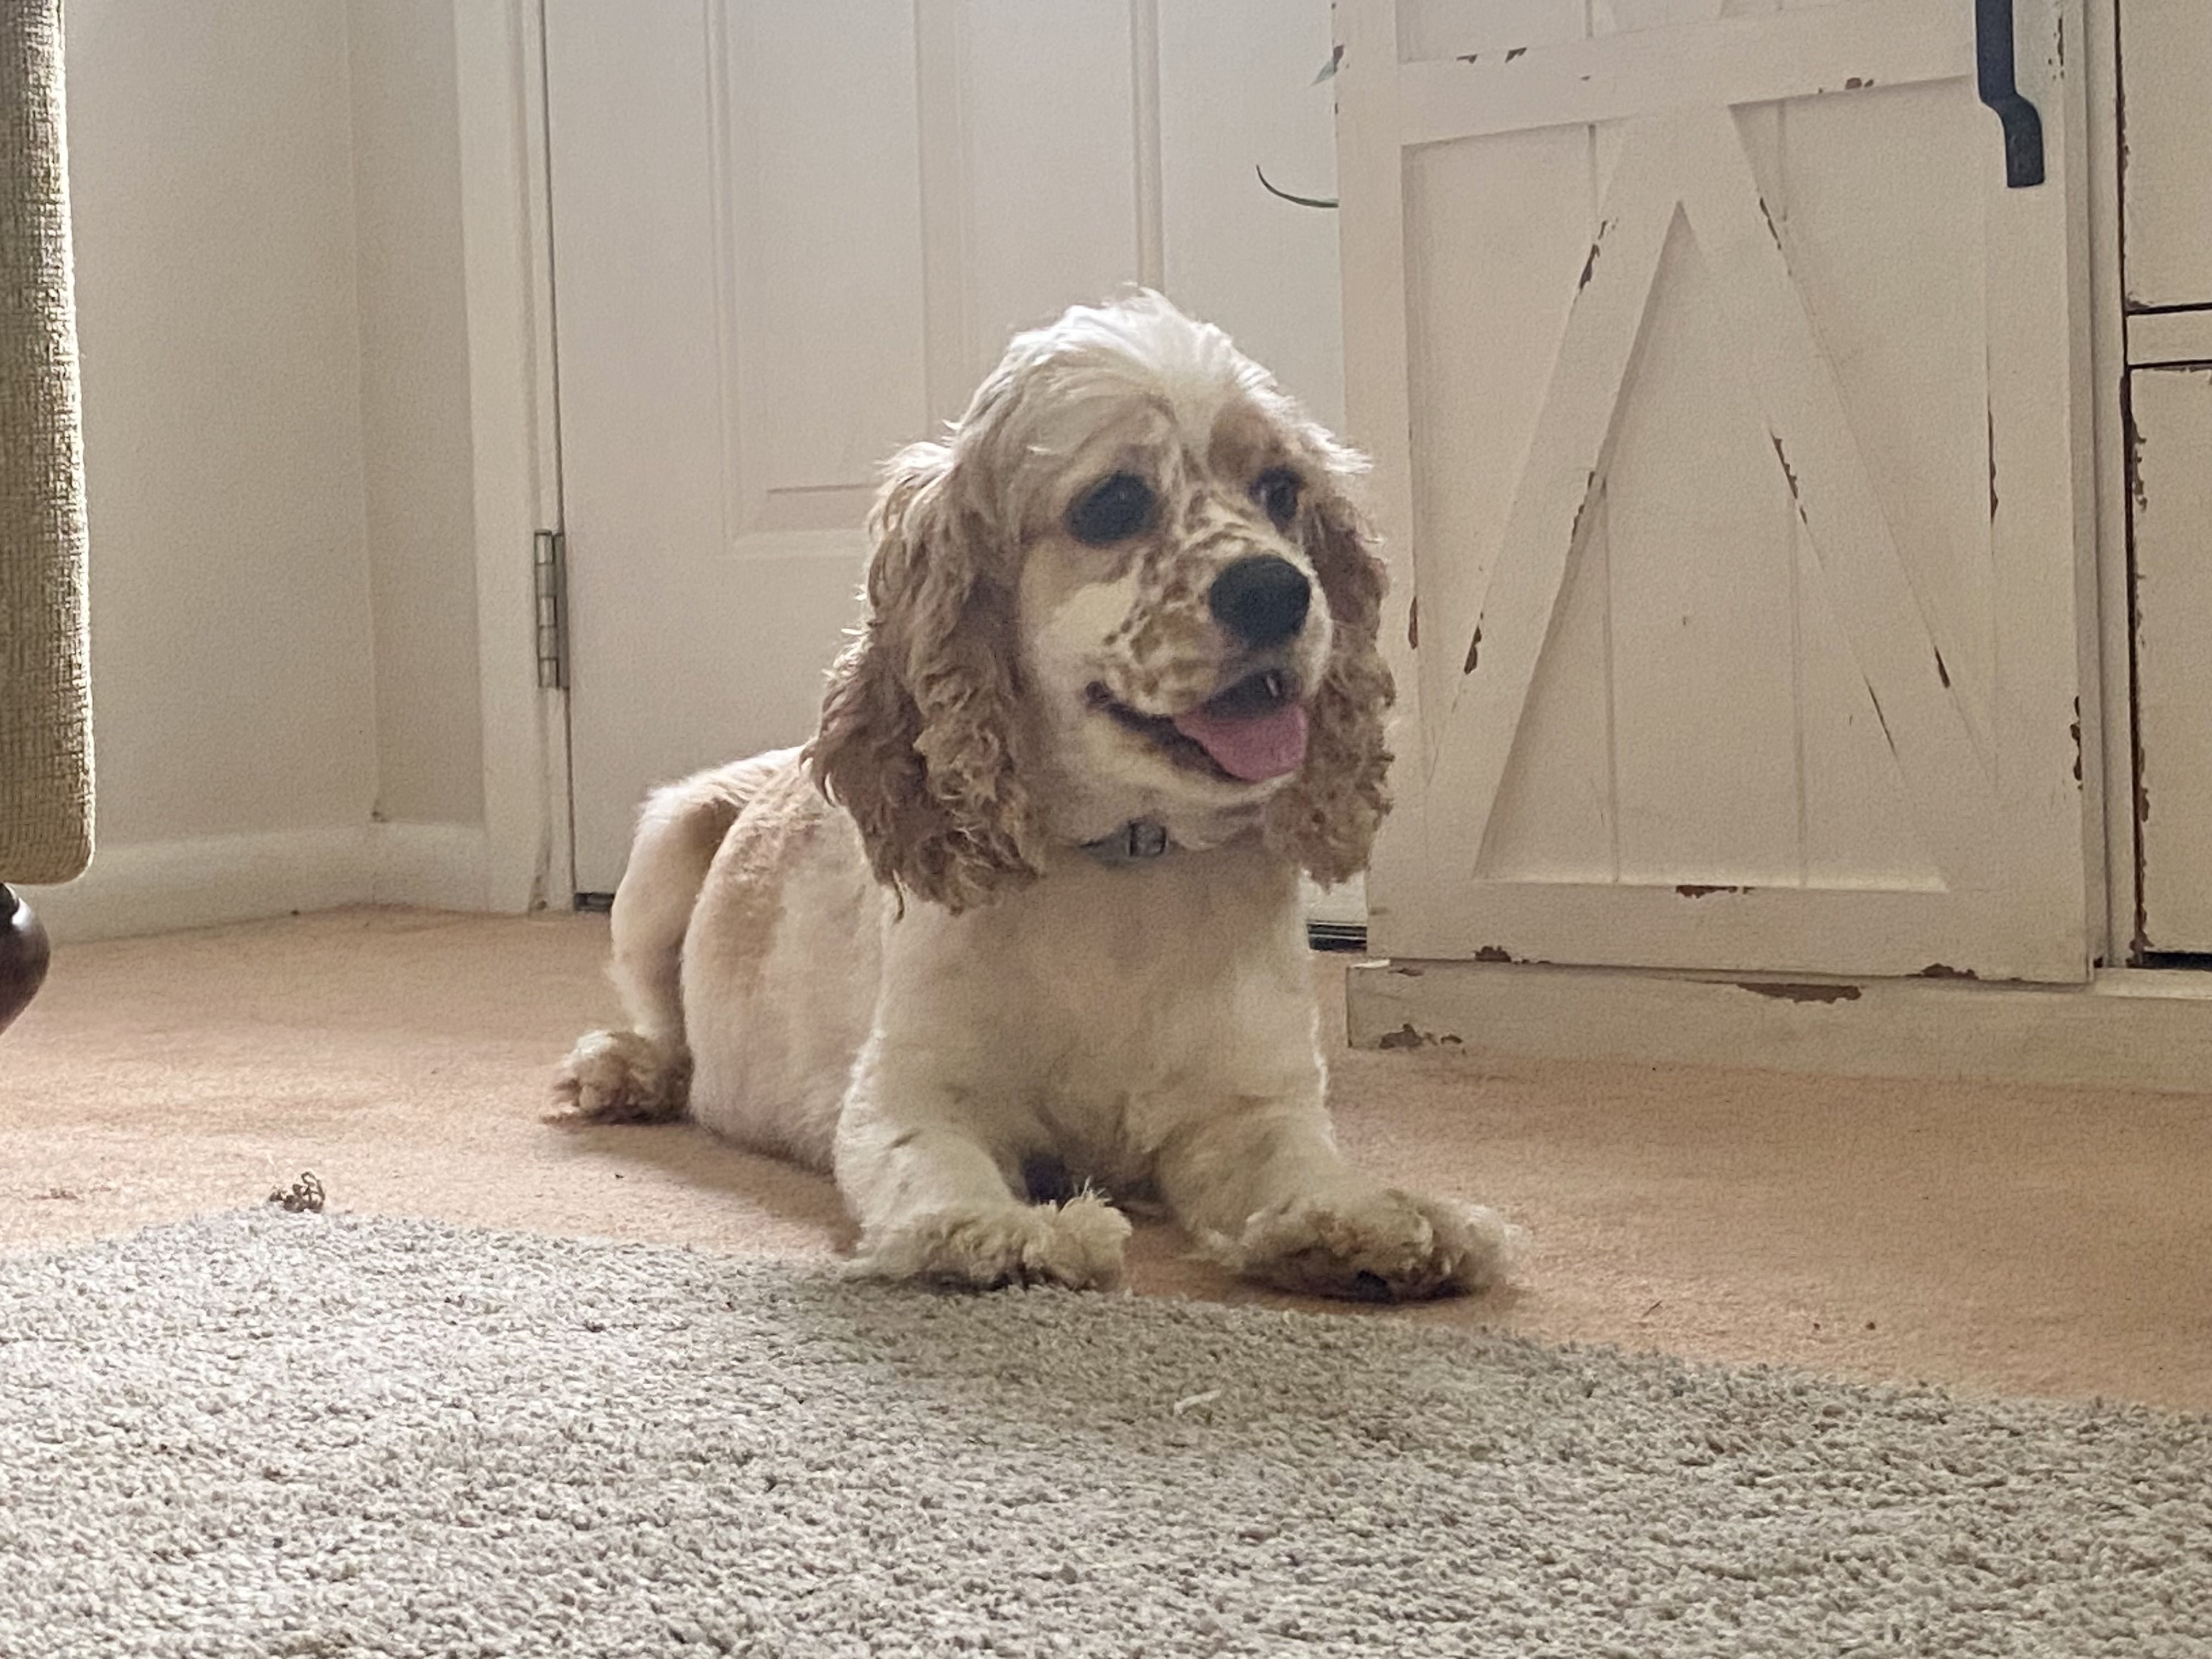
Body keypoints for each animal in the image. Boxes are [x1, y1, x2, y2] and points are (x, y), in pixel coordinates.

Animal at [554, 291, 1513, 1300]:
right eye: (1114, 503)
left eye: (1283, 492)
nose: (1279, 590)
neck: (1130, 859)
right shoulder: (911, 1089)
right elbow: (930, 1167)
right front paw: (997, 1230)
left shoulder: (1247, 1102)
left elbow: (1299, 1163)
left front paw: (1370, 1222)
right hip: (662, 850)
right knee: (659, 1015)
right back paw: (627, 1070)